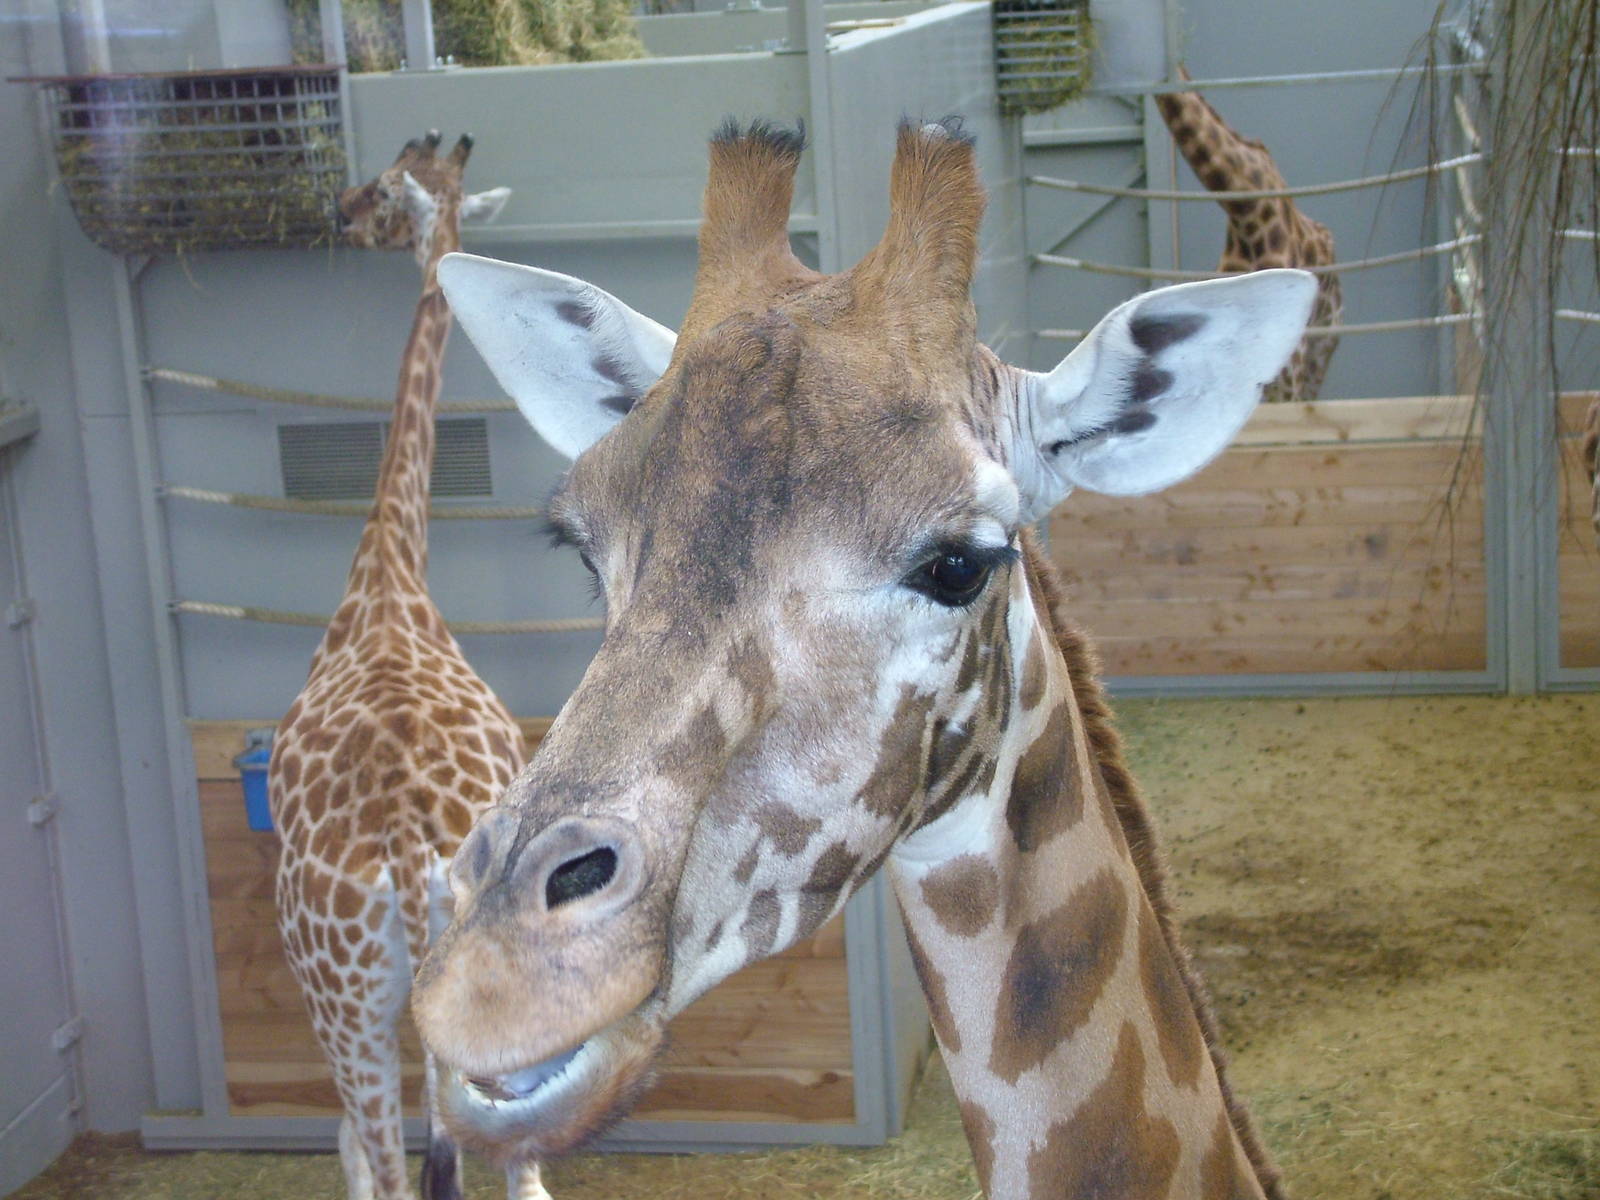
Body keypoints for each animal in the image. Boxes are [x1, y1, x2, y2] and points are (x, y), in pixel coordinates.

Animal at [266, 131, 548, 1200]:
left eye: (382, 190)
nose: (336, 212)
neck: (390, 570)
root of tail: (401, 845)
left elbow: (356, 1154)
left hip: (342, 1004)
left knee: (383, 1158)